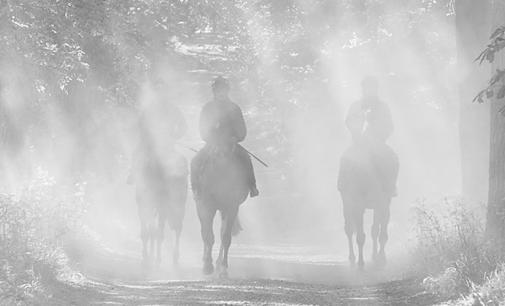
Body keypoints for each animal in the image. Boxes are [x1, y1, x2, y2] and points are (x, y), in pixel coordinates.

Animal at [191, 146, 248, 278]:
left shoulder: (231, 207)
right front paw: (207, 267)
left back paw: (217, 263)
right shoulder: (204, 206)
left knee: (222, 232)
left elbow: (225, 237)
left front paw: (223, 269)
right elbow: (207, 235)